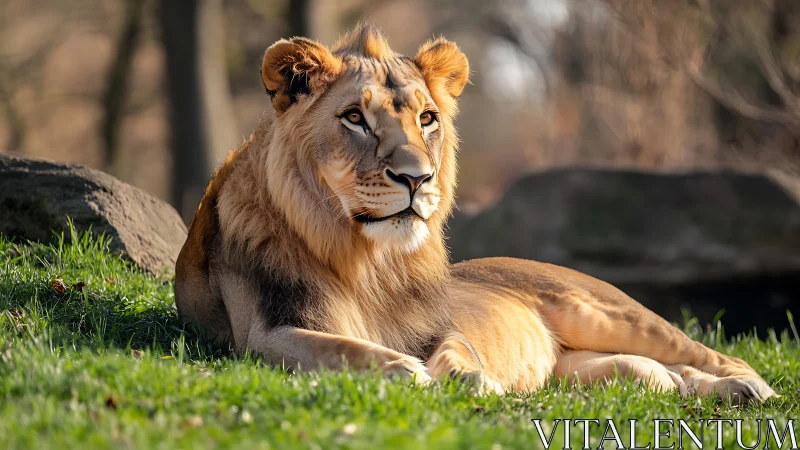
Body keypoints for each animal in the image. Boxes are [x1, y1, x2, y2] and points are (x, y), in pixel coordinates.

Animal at [175, 24, 775, 403]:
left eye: (427, 118)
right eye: (354, 119)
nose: (417, 179)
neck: (370, 262)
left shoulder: (439, 326)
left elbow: (454, 349)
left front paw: (465, 377)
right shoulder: (261, 334)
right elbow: (339, 348)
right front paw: (404, 370)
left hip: (611, 313)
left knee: (716, 356)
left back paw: (749, 389)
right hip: (582, 366)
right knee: (656, 375)